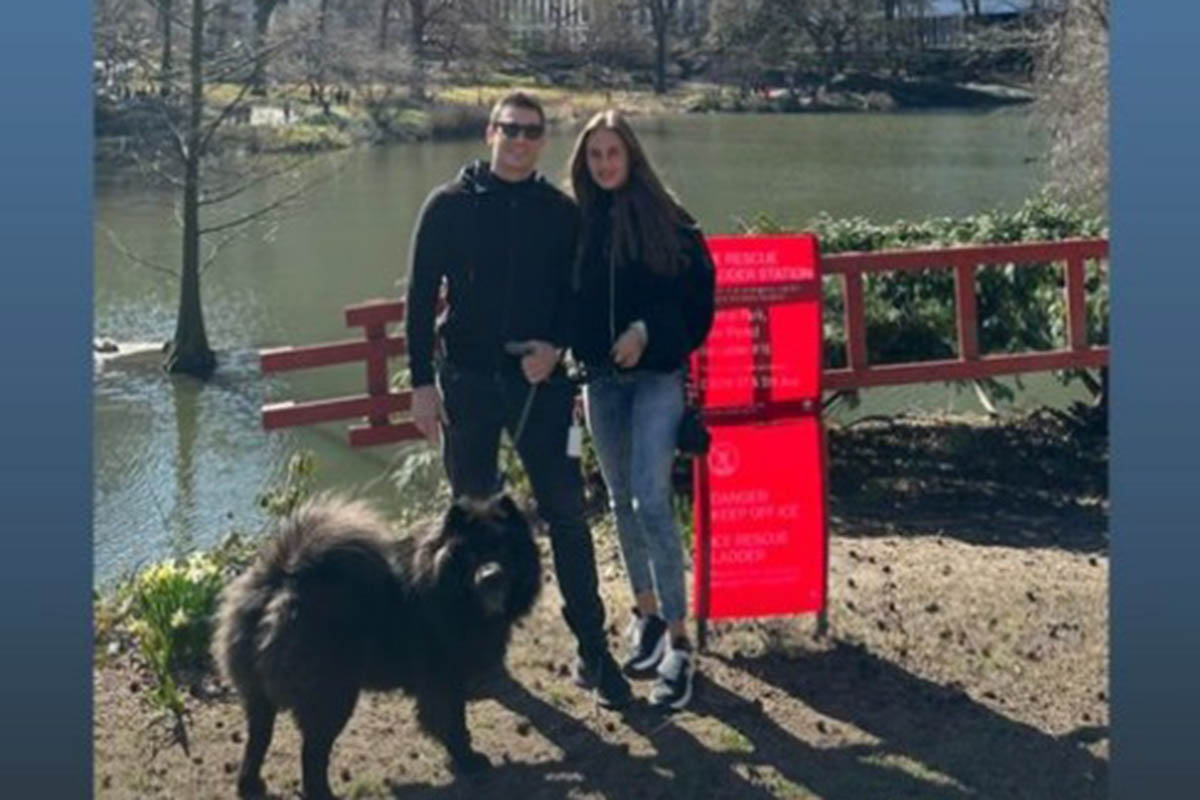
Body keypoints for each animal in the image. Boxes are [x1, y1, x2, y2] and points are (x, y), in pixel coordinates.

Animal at [211, 492, 541, 799]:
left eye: (503, 548)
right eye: (471, 552)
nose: (491, 575)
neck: (446, 586)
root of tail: (279, 582)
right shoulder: (444, 680)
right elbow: (453, 724)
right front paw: (469, 760)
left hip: (260, 698)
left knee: (258, 742)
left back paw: (250, 786)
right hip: (331, 696)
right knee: (312, 755)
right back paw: (323, 793)